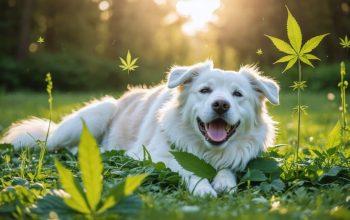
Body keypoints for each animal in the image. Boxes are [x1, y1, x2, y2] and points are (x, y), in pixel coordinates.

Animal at [0, 60, 278, 198]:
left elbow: (227, 169)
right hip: (92, 117)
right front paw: (203, 188)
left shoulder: (237, 156)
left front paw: (224, 183)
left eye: (237, 94)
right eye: (205, 90)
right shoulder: (152, 156)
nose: (220, 104)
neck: (208, 150)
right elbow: (188, 170)